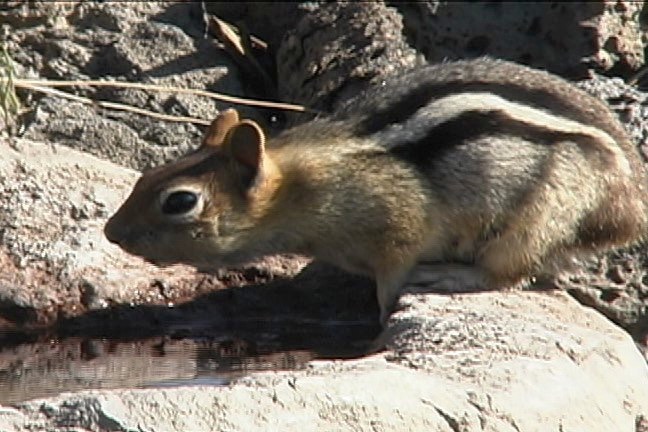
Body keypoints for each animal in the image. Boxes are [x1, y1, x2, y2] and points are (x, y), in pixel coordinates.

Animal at [102, 59, 648, 324]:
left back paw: (452, 275)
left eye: (180, 201)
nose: (111, 233)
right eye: (143, 178)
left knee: (507, 272)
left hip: (540, 212)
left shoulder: (400, 226)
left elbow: (393, 277)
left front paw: (383, 320)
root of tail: (630, 204)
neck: (307, 189)